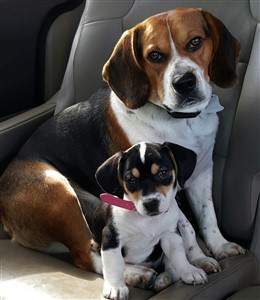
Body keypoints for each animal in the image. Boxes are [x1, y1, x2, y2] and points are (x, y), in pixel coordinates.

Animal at [89, 142, 219, 298]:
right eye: (131, 179)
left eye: (163, 172)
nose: (151, 203)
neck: (147, 220)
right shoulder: (111, 237)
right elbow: (114, 264)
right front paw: (116, 287)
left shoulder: (170, 235)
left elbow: (178, 255)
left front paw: (188, 271)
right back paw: (141, 275)